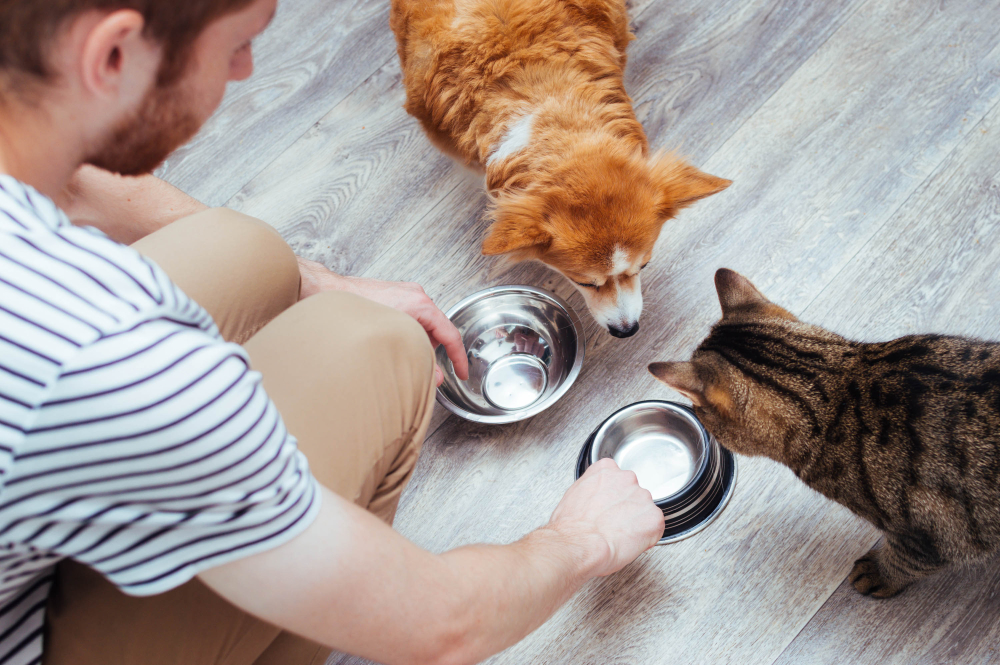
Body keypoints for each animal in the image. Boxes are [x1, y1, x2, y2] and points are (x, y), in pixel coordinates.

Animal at [648, 268, 1000, 596]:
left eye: (699, 411)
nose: (694, 413)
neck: (839, 387)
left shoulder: (928, 536)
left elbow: (905, 561)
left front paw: (877, 574)